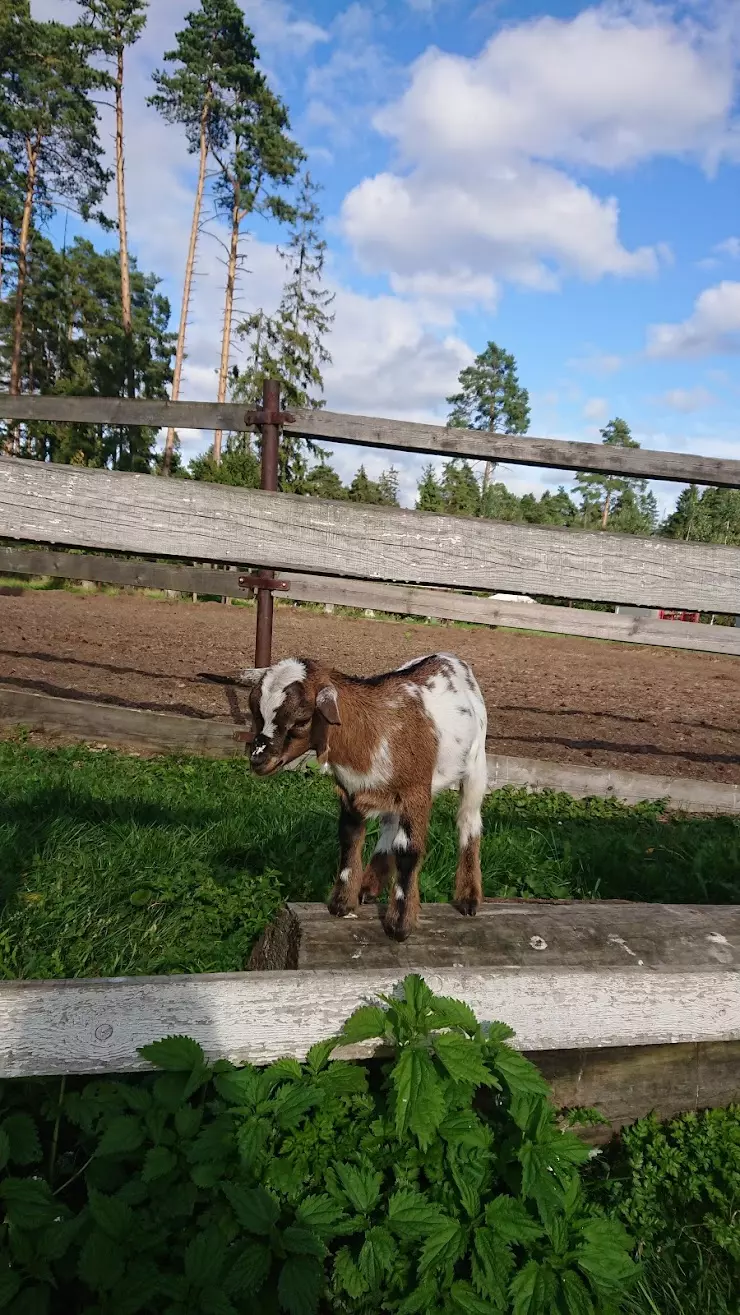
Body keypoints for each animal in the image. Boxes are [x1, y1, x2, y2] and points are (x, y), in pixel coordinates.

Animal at [205, 654, 488, 941]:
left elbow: (408, 851)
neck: (372, 733)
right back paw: (369, 887)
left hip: (476, 764)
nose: (258, 760)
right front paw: (342, 904)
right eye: (255, 713)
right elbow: (349, 839)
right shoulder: (350, 792)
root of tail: (447, 657)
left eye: (301, 720)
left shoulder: (416, 791)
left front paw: (400, 925)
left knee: (468, 820)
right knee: (389, 825)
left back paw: (468, 898)